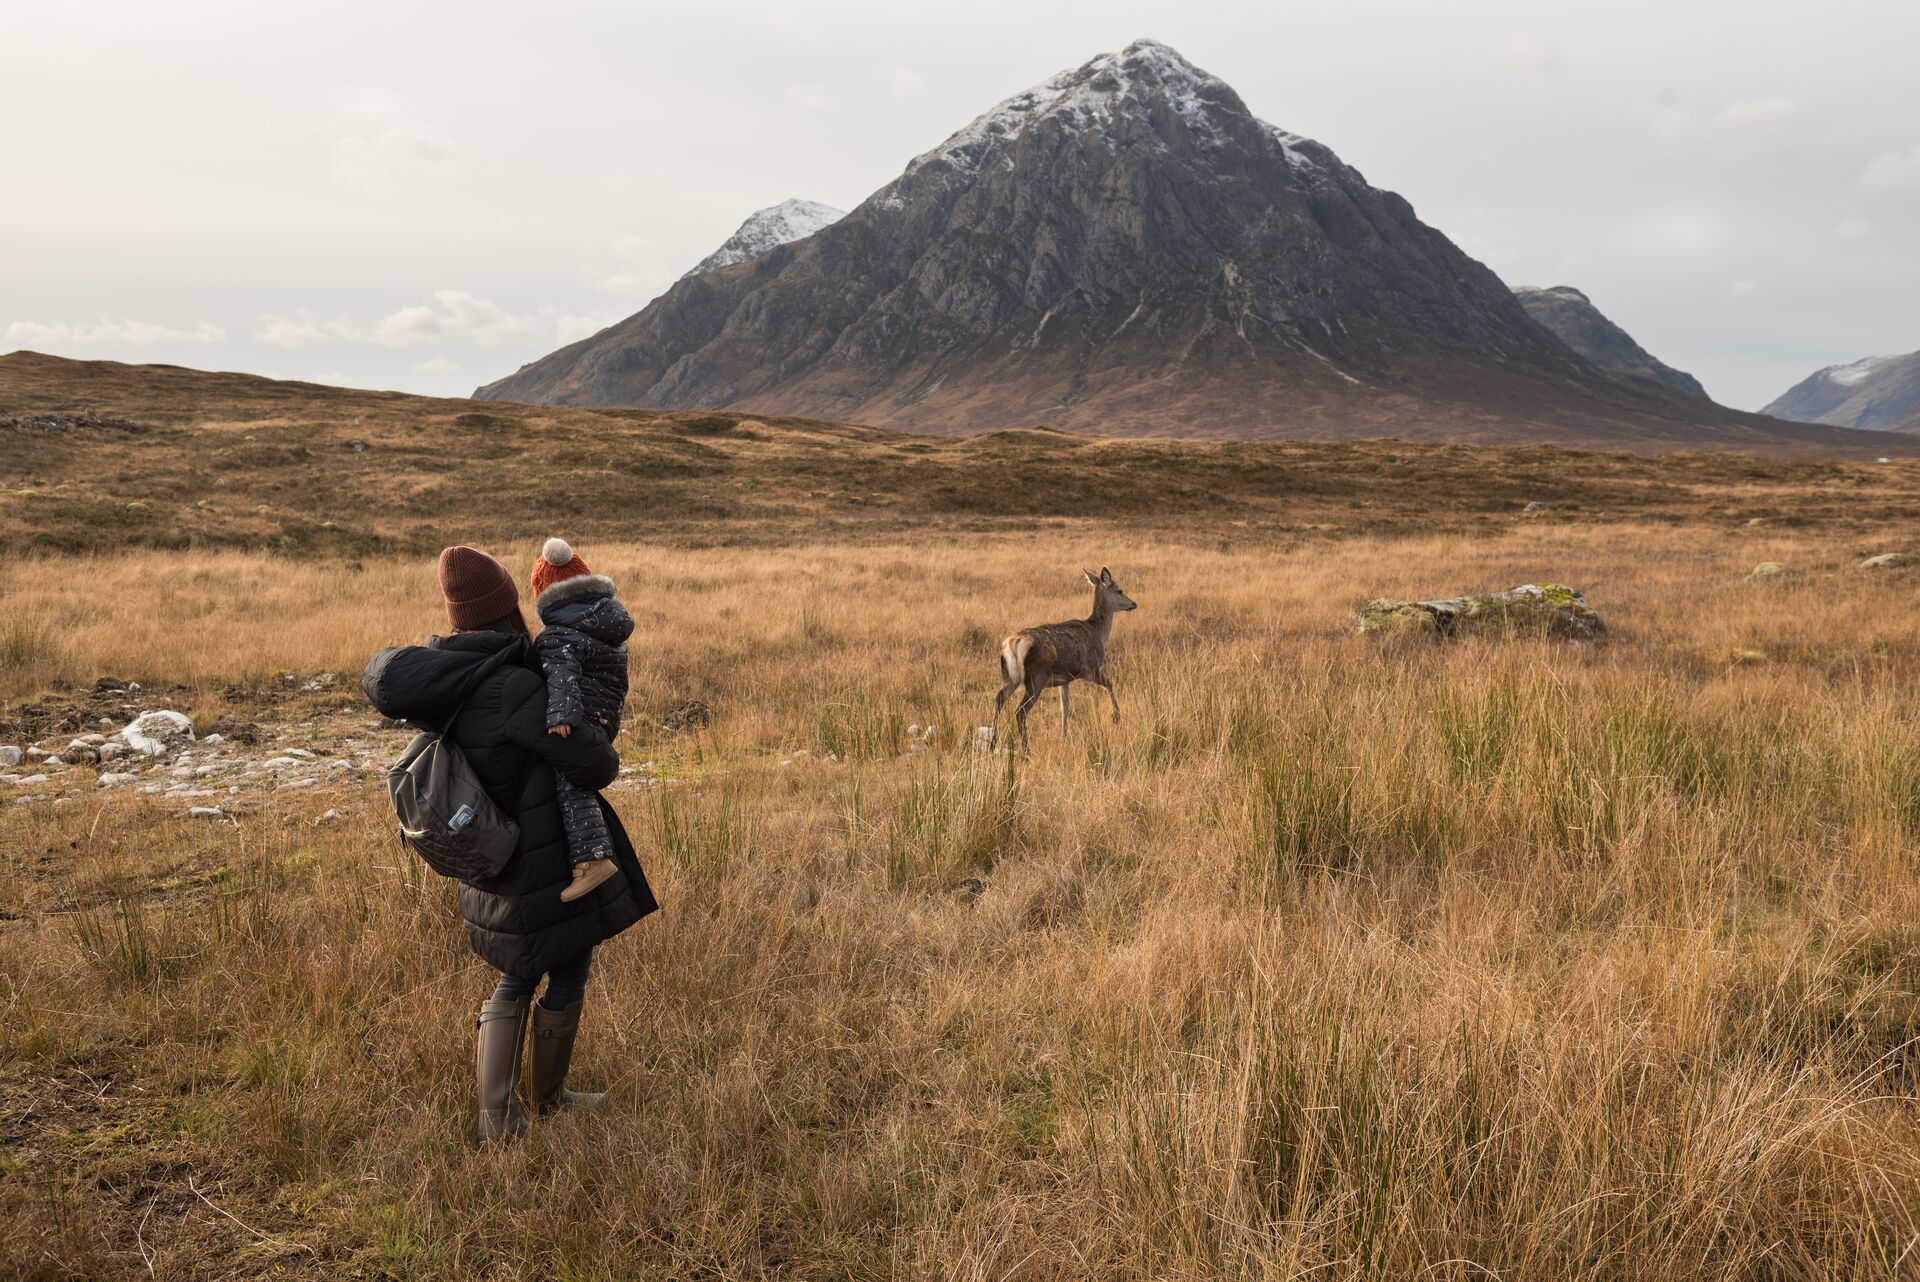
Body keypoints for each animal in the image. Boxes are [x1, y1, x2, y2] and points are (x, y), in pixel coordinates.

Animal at [991, 567, 1138, 751]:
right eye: (1120, 590)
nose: (1133, 604)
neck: (1099, 633)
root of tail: (1012, 644)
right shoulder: (1090, 668)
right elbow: (1110, 684)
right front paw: (1116, 717)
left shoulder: (1064, 680)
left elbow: (1065, 708)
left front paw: (1064, 737)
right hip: (1036, 677)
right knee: (1020, 711)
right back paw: (1026, 749)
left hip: (1010, 676)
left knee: (998, 699)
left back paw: (993, 742)